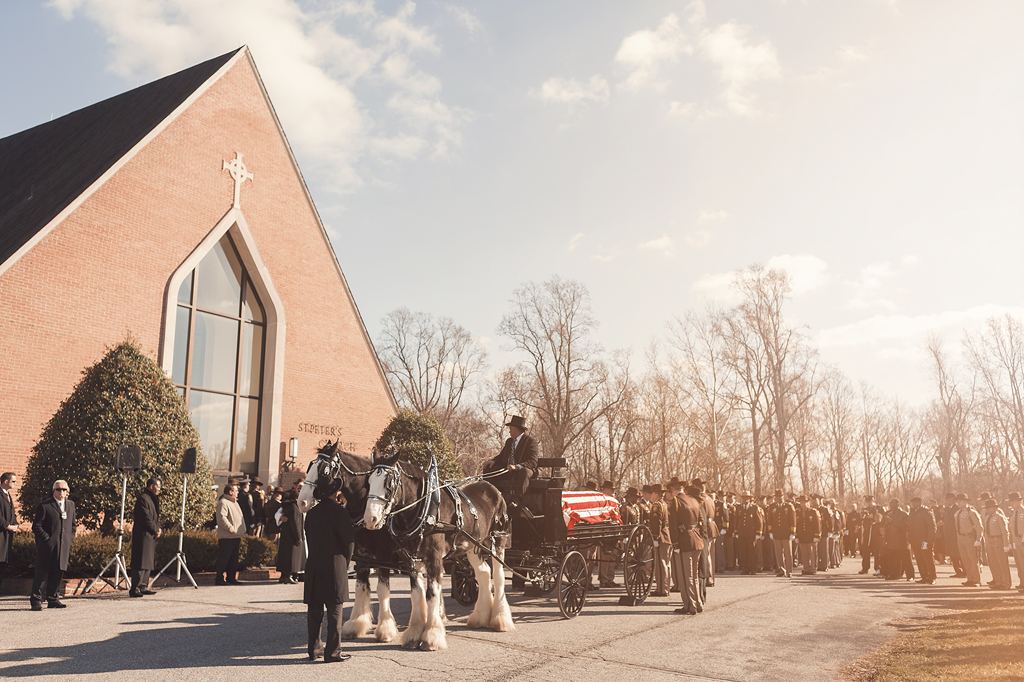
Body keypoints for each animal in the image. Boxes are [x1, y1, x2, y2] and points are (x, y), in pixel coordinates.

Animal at [364, 446, 516, 647]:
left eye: (389, 483)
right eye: (369, 481)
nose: (370, 519)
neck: (424, 509)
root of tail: (493, 488)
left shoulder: (434, 557)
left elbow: (432, 594)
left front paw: (432, 635)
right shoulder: (411, 560)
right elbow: (417, 594)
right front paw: (414, 632)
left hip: (497, 540)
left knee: (498, 577)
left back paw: (501, 619)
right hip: (473, 546)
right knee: (483, 573)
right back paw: (480, 617)